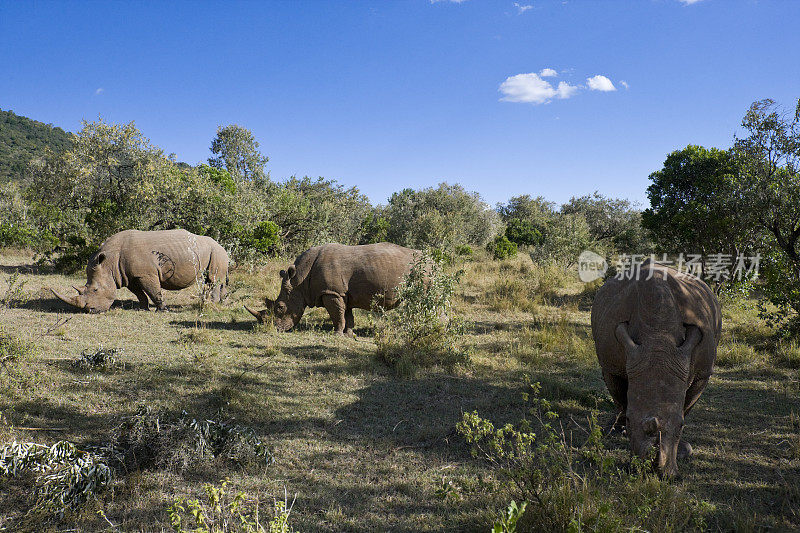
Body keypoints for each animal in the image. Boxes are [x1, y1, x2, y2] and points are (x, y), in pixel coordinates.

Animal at [51, 229, 228, 312]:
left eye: (95, 290)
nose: (91, 310)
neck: (109, 262)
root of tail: (223, 246)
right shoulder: (127, 276)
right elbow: (140, 293)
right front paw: (142, 308)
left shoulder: (146, 274)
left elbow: (154, 291)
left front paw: (163, 310)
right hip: (214, 252)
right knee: (216, 281)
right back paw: (220, 303)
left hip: (216, 252)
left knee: (213, 279)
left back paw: (211, 304)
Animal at [244, 243, 418, 334]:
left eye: (280, 307)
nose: (273, 329)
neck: (299, 281)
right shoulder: (341, 293)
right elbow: (346, 314)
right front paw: (349, 334)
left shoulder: (331, 292)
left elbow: (337, 315)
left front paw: (337, 334)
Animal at [592, 260, 720, 476]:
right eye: (629, 419)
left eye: (681, 425)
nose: (651, 471)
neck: (658, 336)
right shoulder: (610, 364)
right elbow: (619, 397)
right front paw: (620, 431)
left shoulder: (703, 372)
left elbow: (687, 404)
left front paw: (684, 449)